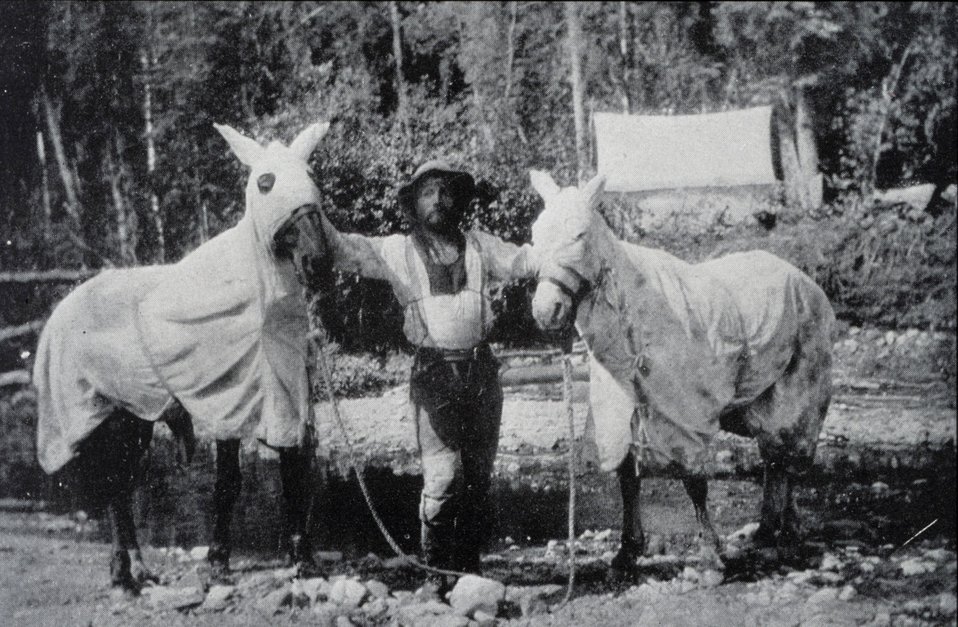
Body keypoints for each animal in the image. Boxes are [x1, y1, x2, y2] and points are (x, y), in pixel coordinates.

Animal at [33, 122, 334, 593]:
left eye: (311, 175)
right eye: (265, 183)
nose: (318, 262)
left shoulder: (284, 391)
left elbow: (292, 473)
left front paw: (304, 560)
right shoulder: (227, 402)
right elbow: (228, 482)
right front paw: (218, 562)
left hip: (134, 417)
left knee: (123, 487)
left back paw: (138, 570)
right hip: (100, 415)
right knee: (114, 487)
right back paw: (123, 574)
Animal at [527, 170, 834, 573]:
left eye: (579, 235)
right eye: (535, 234)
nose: (546, 311)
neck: (633, 314)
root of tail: (802, 277)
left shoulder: (687, 417)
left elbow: (694, 482)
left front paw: (711, 553)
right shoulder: (619, 411)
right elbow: (627, 478)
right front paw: (628, 550)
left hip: (798, 394)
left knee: (788, 454)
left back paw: (781, 532)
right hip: (759, 401)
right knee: (776, 459)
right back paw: (774, 529)